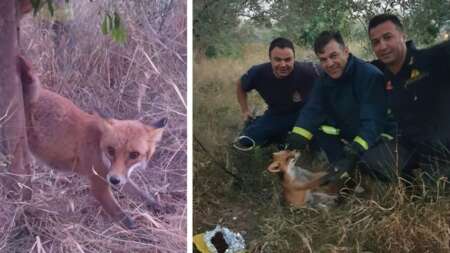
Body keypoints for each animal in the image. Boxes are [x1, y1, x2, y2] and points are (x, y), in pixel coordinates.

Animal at [15, 56, 168, 228]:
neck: (98, 144)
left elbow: (142, 194)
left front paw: (158, 207)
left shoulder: (119, 175)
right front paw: (140, 230)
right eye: (111, 150)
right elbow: (124, 218)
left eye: (134, 155)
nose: (114, 180)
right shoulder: (98, 185)